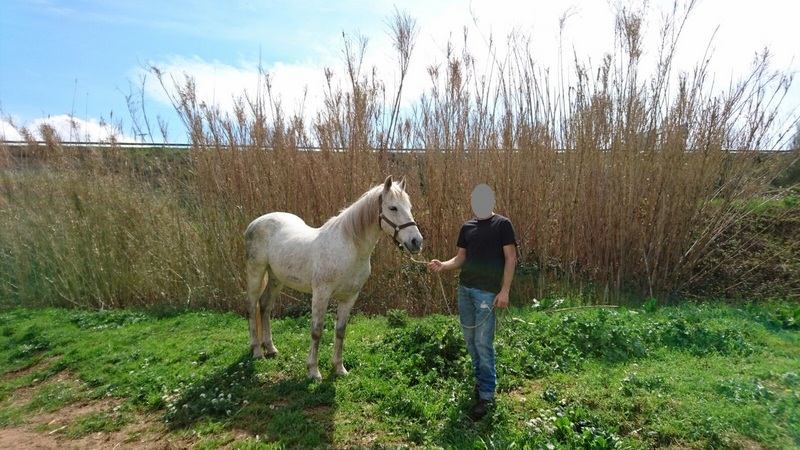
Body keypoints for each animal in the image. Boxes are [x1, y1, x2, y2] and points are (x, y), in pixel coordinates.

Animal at [244, 175, 423, 381]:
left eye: (409, 207)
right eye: (393, 208)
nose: (416, 242)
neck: (349, 247)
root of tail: (256, 222)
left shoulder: (349, 297)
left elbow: (340, 331)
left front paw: (339, 368)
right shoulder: (321, 294)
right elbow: (316, 331)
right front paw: (313, 371)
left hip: (275, 278)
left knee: (265, 307)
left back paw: (271, 349)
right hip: (255, 272)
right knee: (252, 307)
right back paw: (258, 351)